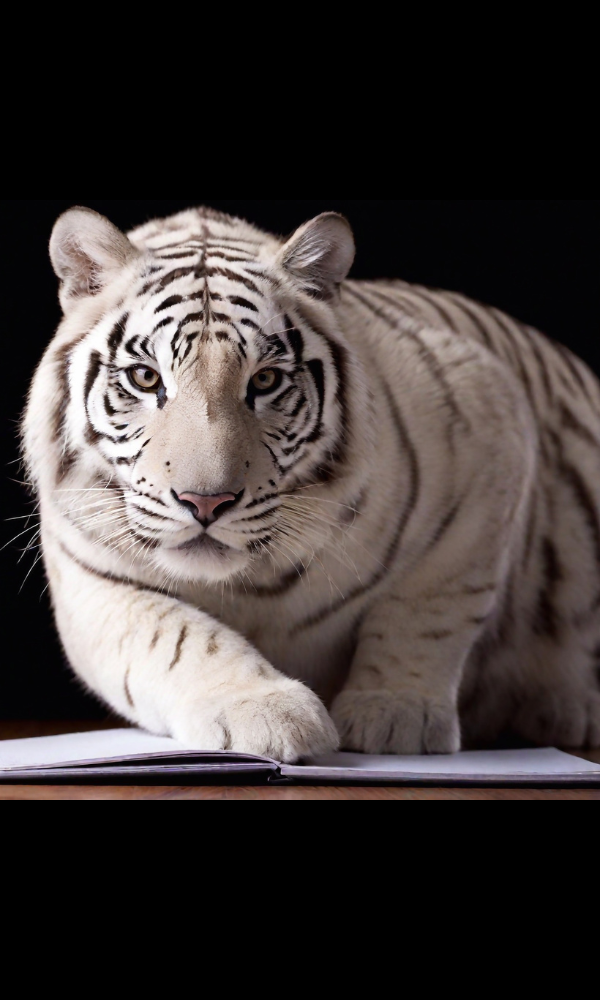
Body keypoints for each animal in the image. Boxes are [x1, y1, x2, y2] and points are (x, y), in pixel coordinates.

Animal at [21, 204, 600, 761]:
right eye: (146, 378)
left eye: (265, 380)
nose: (205, 502)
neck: (248, 583)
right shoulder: (94, 584)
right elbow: (174, 637)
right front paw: (265, 710)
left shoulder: (487, 425)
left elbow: (429, 610)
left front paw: (394, 712)